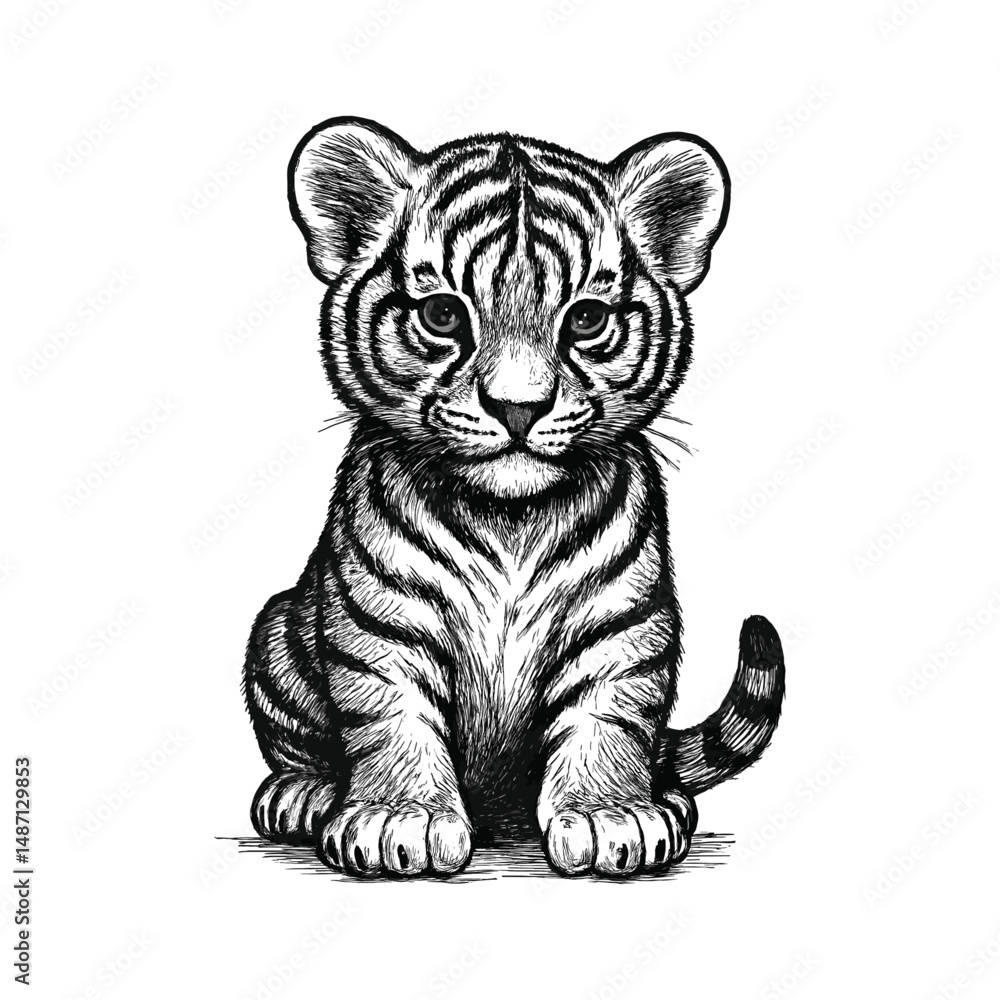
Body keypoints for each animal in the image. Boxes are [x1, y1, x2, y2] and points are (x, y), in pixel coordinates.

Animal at [242, 116, 785, 879]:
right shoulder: (383, 623)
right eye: (443, 314)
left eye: (586, 320)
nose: (519, 407)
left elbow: (607, 718)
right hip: (276, 630)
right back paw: (303, 793)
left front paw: (609, 815)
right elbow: (390, 717)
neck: (511, 519)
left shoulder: (621, 627)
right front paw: (398, 819)